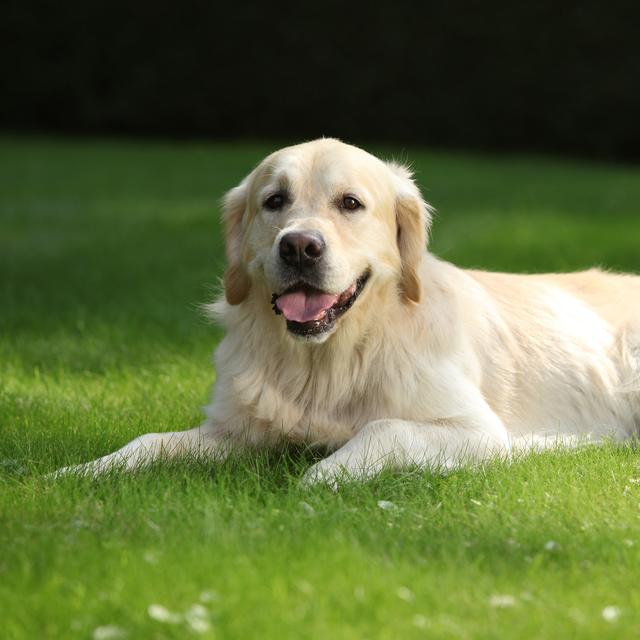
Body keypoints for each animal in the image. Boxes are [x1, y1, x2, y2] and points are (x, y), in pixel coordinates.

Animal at [55, 139, 640, 484]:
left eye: (350, 204)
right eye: (274, 201)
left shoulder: (477, 431)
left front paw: (316, 481)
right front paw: (80, 471)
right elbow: (148, 442)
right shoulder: (235, 432)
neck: (329, 357)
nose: (300, 247)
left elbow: (383, 429)